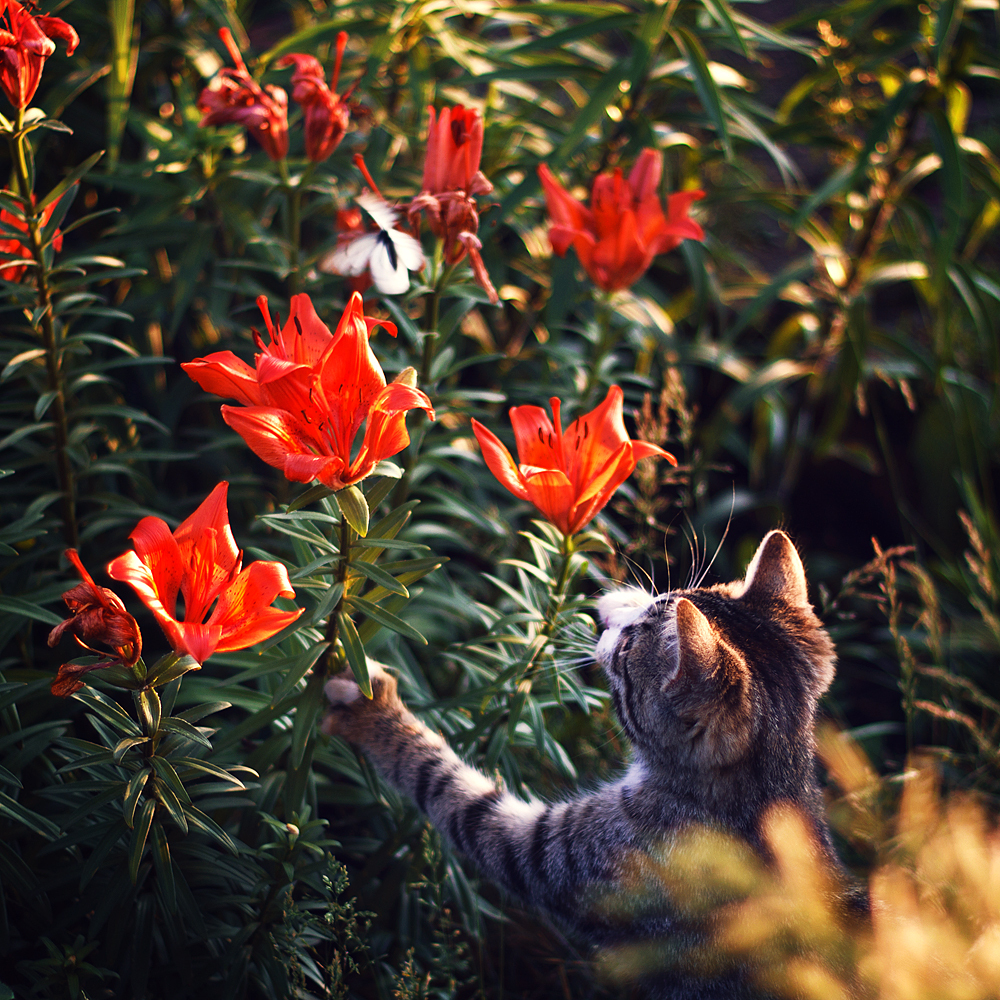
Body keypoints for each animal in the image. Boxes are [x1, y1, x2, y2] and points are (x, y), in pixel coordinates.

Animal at [322, 528, 860, 996]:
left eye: (627, 648)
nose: (606, 626)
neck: (767, 798)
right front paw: (619, 596)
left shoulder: (555, 857)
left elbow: (446, 786)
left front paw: (373, 711)